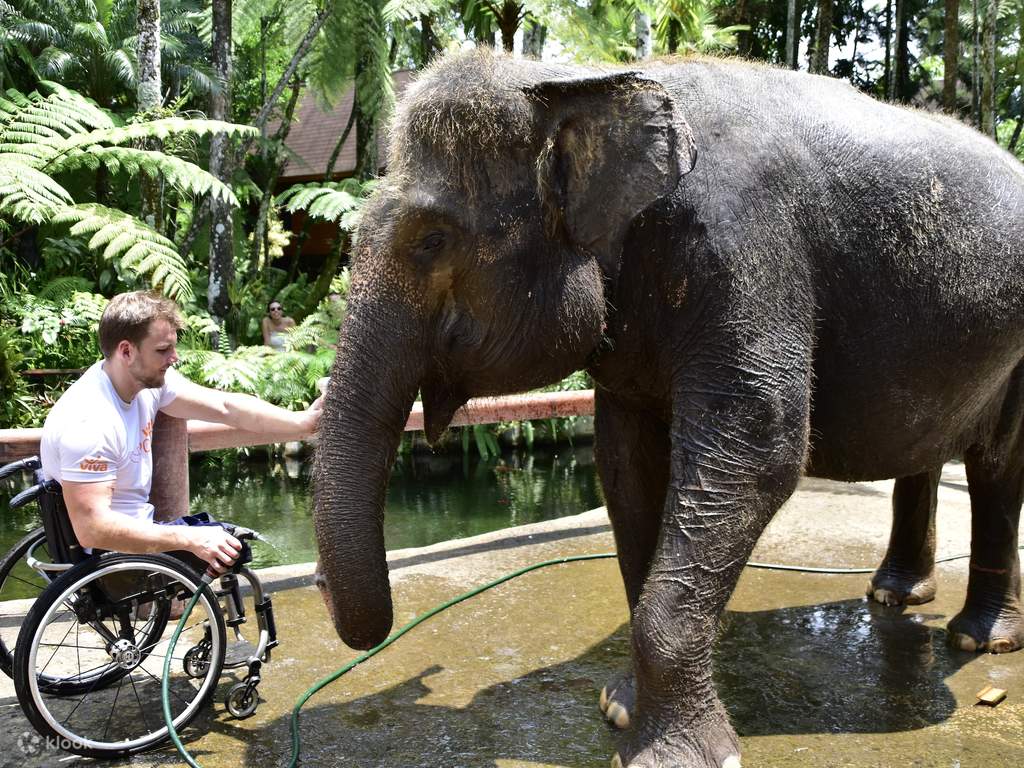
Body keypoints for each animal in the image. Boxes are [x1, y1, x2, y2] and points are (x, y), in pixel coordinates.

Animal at [312, 48, 1024, 768]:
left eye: (431, 239)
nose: (323, 593)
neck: (584, 81)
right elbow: (625, 464)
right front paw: (620, 708)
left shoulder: (745, 251)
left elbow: (759, 449)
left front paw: (678, 754)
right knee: (927, 452)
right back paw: (895, 596)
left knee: (997, 466)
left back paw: (979, 639)